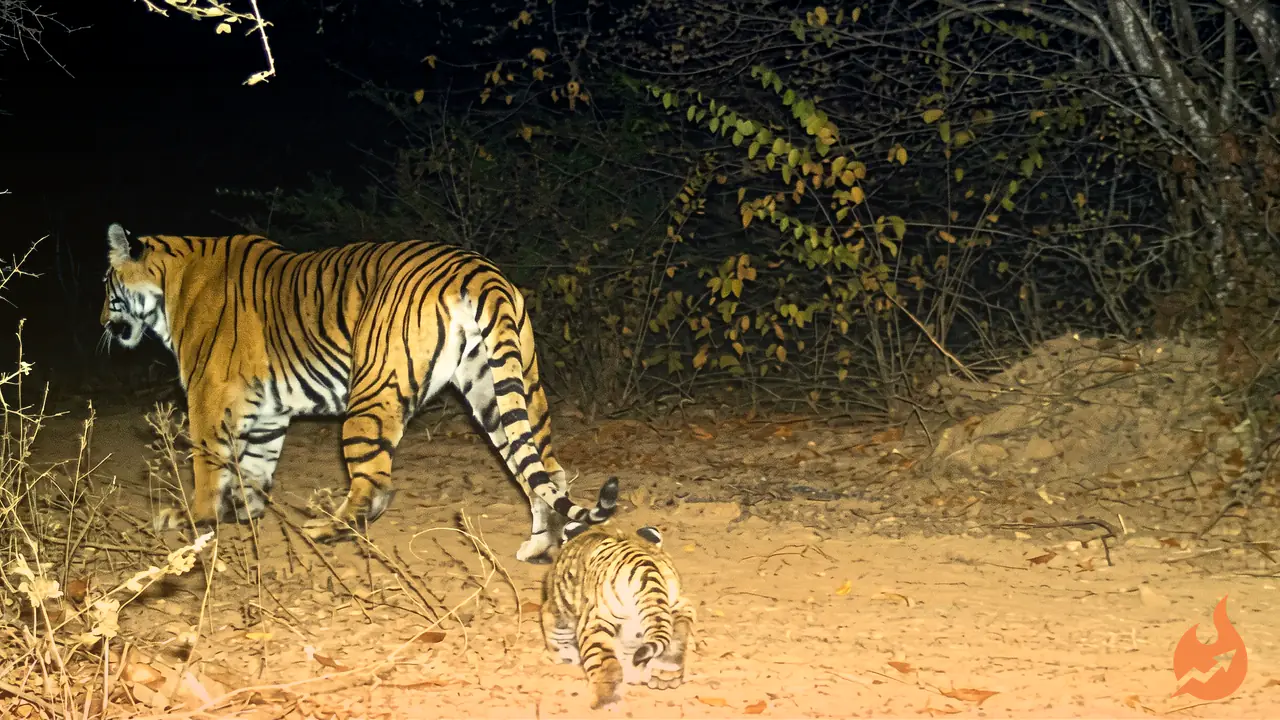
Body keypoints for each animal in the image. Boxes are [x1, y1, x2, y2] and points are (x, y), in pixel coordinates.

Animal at [99, 222, 618, 563]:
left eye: (107, 286)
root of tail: (479, 271)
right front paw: (245, 513)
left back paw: (326, 529)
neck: (173, 281)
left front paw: (198, 518)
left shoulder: (208, 393)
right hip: (503, 388)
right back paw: (541, 545)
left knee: (374, 483)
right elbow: (254, 467)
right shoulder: (267, 411)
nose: (102, 323)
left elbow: (208, 463)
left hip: (371, 390)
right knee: (547, 469)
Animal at [541, 522, 694, 709]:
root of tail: (641, 561)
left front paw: (562, 658)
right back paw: (665, 673)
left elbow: (556, 637)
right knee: (677, 634)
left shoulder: (556, 609)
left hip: (597, 621)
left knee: (606, 666)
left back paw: (605, 702)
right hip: (674, 605)